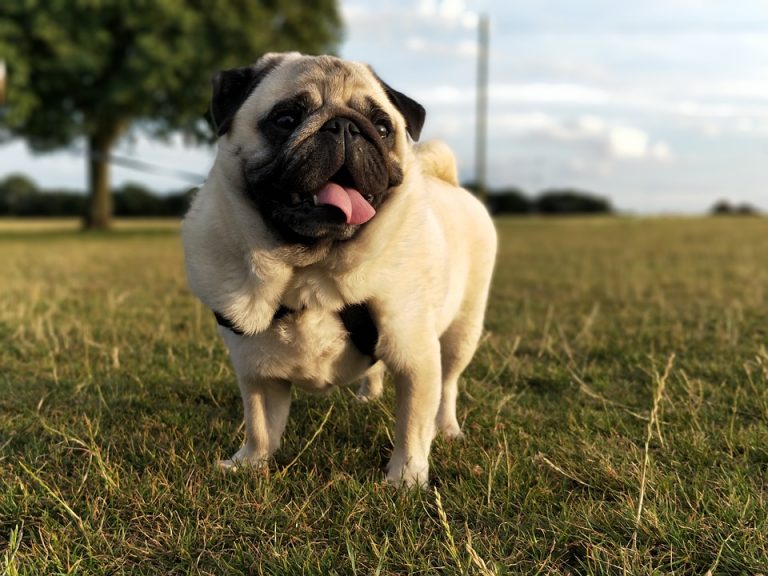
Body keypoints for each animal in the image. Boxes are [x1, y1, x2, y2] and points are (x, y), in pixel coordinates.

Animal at [184, 53, 498, 486]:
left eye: (382, 128)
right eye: (285, 119)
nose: (345, 126)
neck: (310, 272)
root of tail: (448, 181)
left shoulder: (416, 357)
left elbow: (412, 426)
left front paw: (405, 479)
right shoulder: (254, 371)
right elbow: (260, 426)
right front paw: (250, 463)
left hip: (461, 332)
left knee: (448, 387)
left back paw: (447, 428)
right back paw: (369, 395)